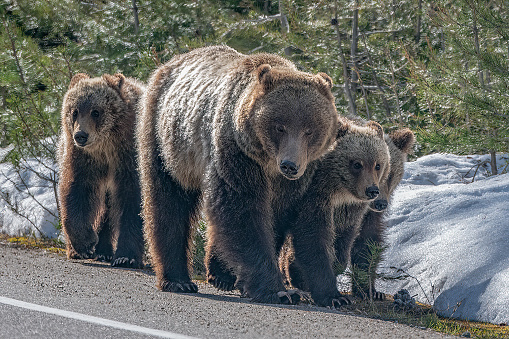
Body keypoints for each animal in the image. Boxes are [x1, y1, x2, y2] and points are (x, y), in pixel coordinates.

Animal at [58, 73, 144, 268]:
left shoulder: (128, 161)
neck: (106, 147)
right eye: (74, 111)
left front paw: (126, 257)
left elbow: (132, 201)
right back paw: (86, 251)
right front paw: (85, 245)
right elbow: (76, 191)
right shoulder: (83, 159)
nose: (81, 135)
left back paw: (105, 251)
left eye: (96, 111)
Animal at [138, 44, 342, 302]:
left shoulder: (302, 177)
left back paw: (219, 273)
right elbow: (242, 212)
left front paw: (333, 294)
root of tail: (169, 64)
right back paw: (178, 279)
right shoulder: (237, 154)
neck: (267, 163)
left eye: (310, 130)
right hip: (167, 141)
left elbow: (295, 220)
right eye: (280, 126)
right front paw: (276, 290)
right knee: (168, 202)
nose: (289, 165)